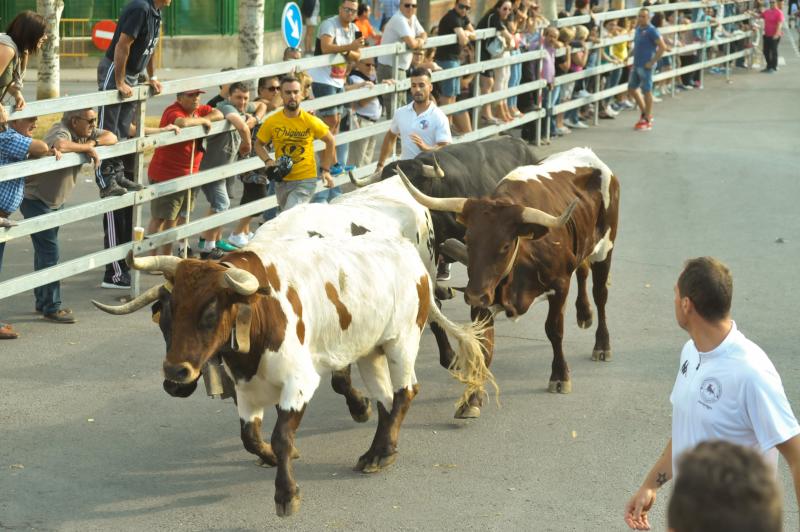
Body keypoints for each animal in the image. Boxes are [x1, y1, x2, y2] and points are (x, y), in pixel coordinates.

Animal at [91, 235, 490, 516]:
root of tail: (410, 256)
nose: (176, 373)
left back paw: (382, 451)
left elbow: (282, 436)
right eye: (167, 314)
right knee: (386, 401)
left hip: (401, 342)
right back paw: (378, 453)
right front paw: (269, 457)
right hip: (370, 351)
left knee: (406, 392)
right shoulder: (247, 390)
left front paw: (286, 494)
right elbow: (250, 437)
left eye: (209, 312)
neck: (258, 313)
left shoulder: (299, 382)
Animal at [398, 150, 620, 412]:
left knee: (600, 294)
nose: (472, 294)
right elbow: (483, 346)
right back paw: (584, 314)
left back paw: (602, 345)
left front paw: (560, 376)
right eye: (468, 239)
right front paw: (472, 397)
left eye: (504, 246)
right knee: (583, 269)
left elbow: (554, 330)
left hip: (605, 247)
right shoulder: (483, 298)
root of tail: (588, 154)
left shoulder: (560, 285)